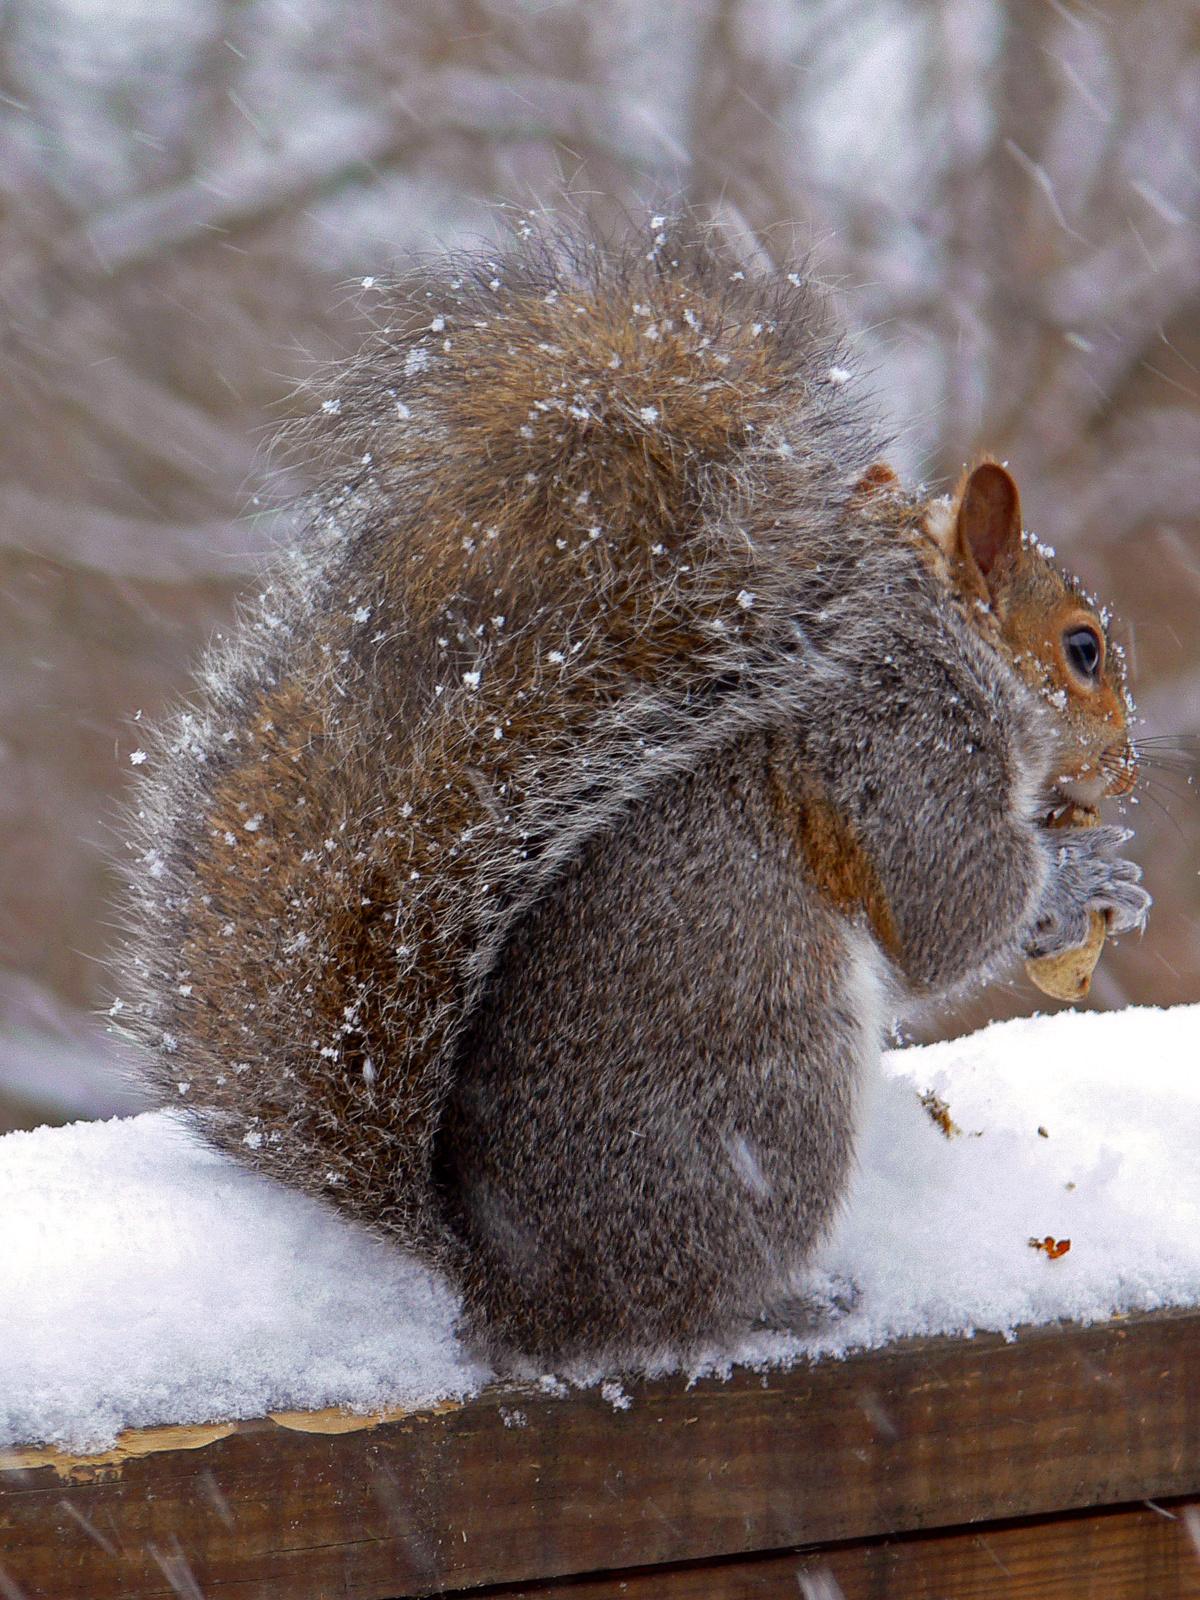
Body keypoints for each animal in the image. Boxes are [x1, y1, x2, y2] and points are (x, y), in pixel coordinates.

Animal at [115, 212, 1158, 1363]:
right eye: (1082, 649)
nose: (1127, 766)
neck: (934, 642)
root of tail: (524, 1290)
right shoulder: (898, 751)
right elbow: (947, 914)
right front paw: (1082, 874)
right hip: (777, 1092)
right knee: (694, 1296)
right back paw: (783, 1301)